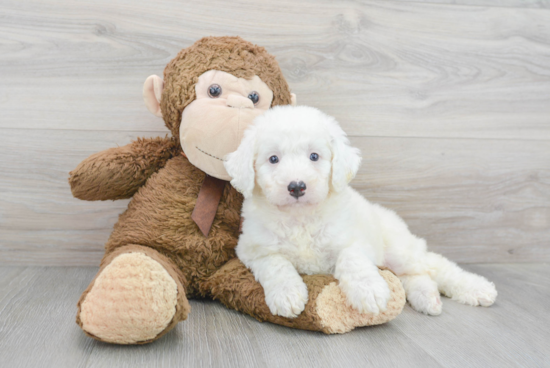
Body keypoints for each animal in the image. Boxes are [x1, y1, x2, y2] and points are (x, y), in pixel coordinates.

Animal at [225, 105, 500, 318]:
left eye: (314, 156)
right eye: (273, 159)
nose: (296, 186)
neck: (300, 217)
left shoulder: (355, 240)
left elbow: (352, 259)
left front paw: (370, 292)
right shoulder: (253, 250)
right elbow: (276, 264)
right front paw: (287, 295)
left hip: (399, 249)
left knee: (435, 266)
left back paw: (478, 288)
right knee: (416, 276)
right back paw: (427, 298)